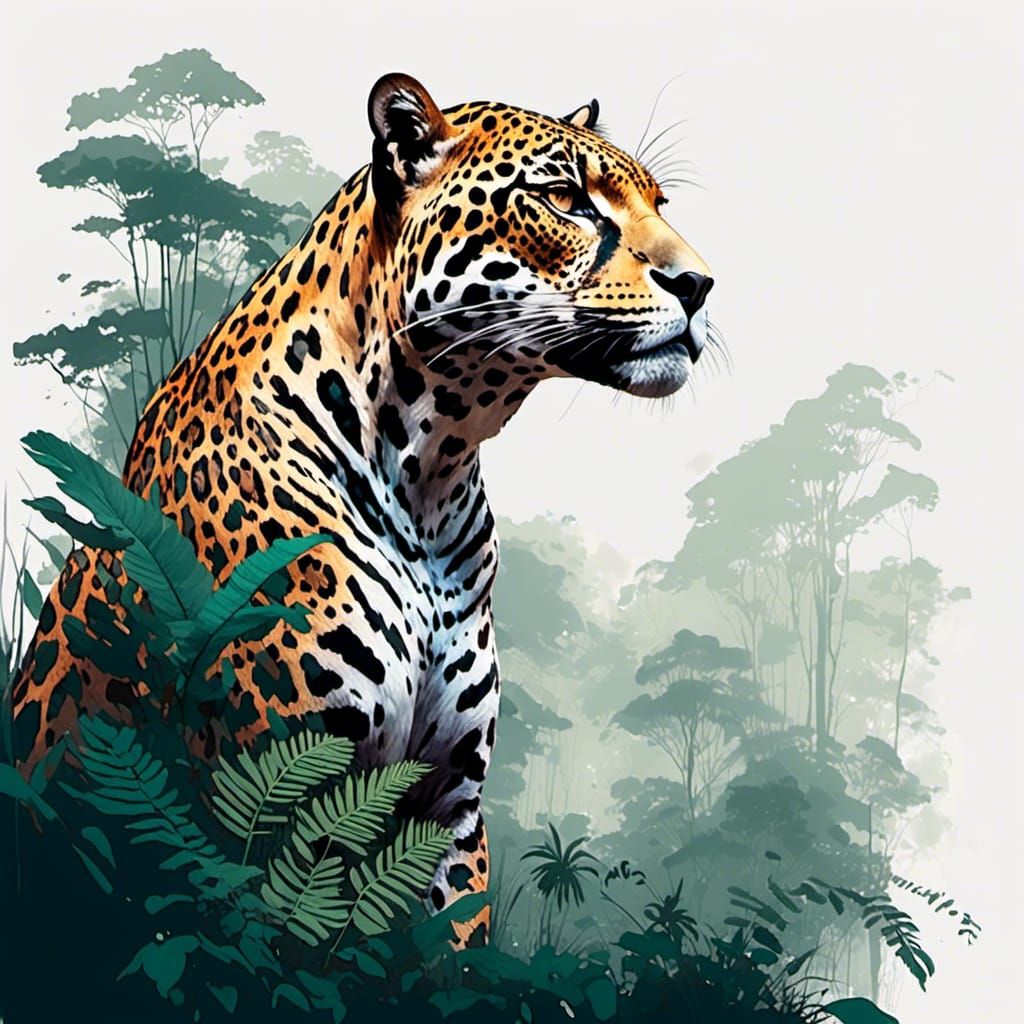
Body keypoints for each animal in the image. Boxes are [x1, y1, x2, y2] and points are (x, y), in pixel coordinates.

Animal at [10, 73, 714, 947]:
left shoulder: (448, 804)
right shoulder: (276, 791)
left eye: (659, 201)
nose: (701, 284)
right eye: (564, 199)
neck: (431, 468)